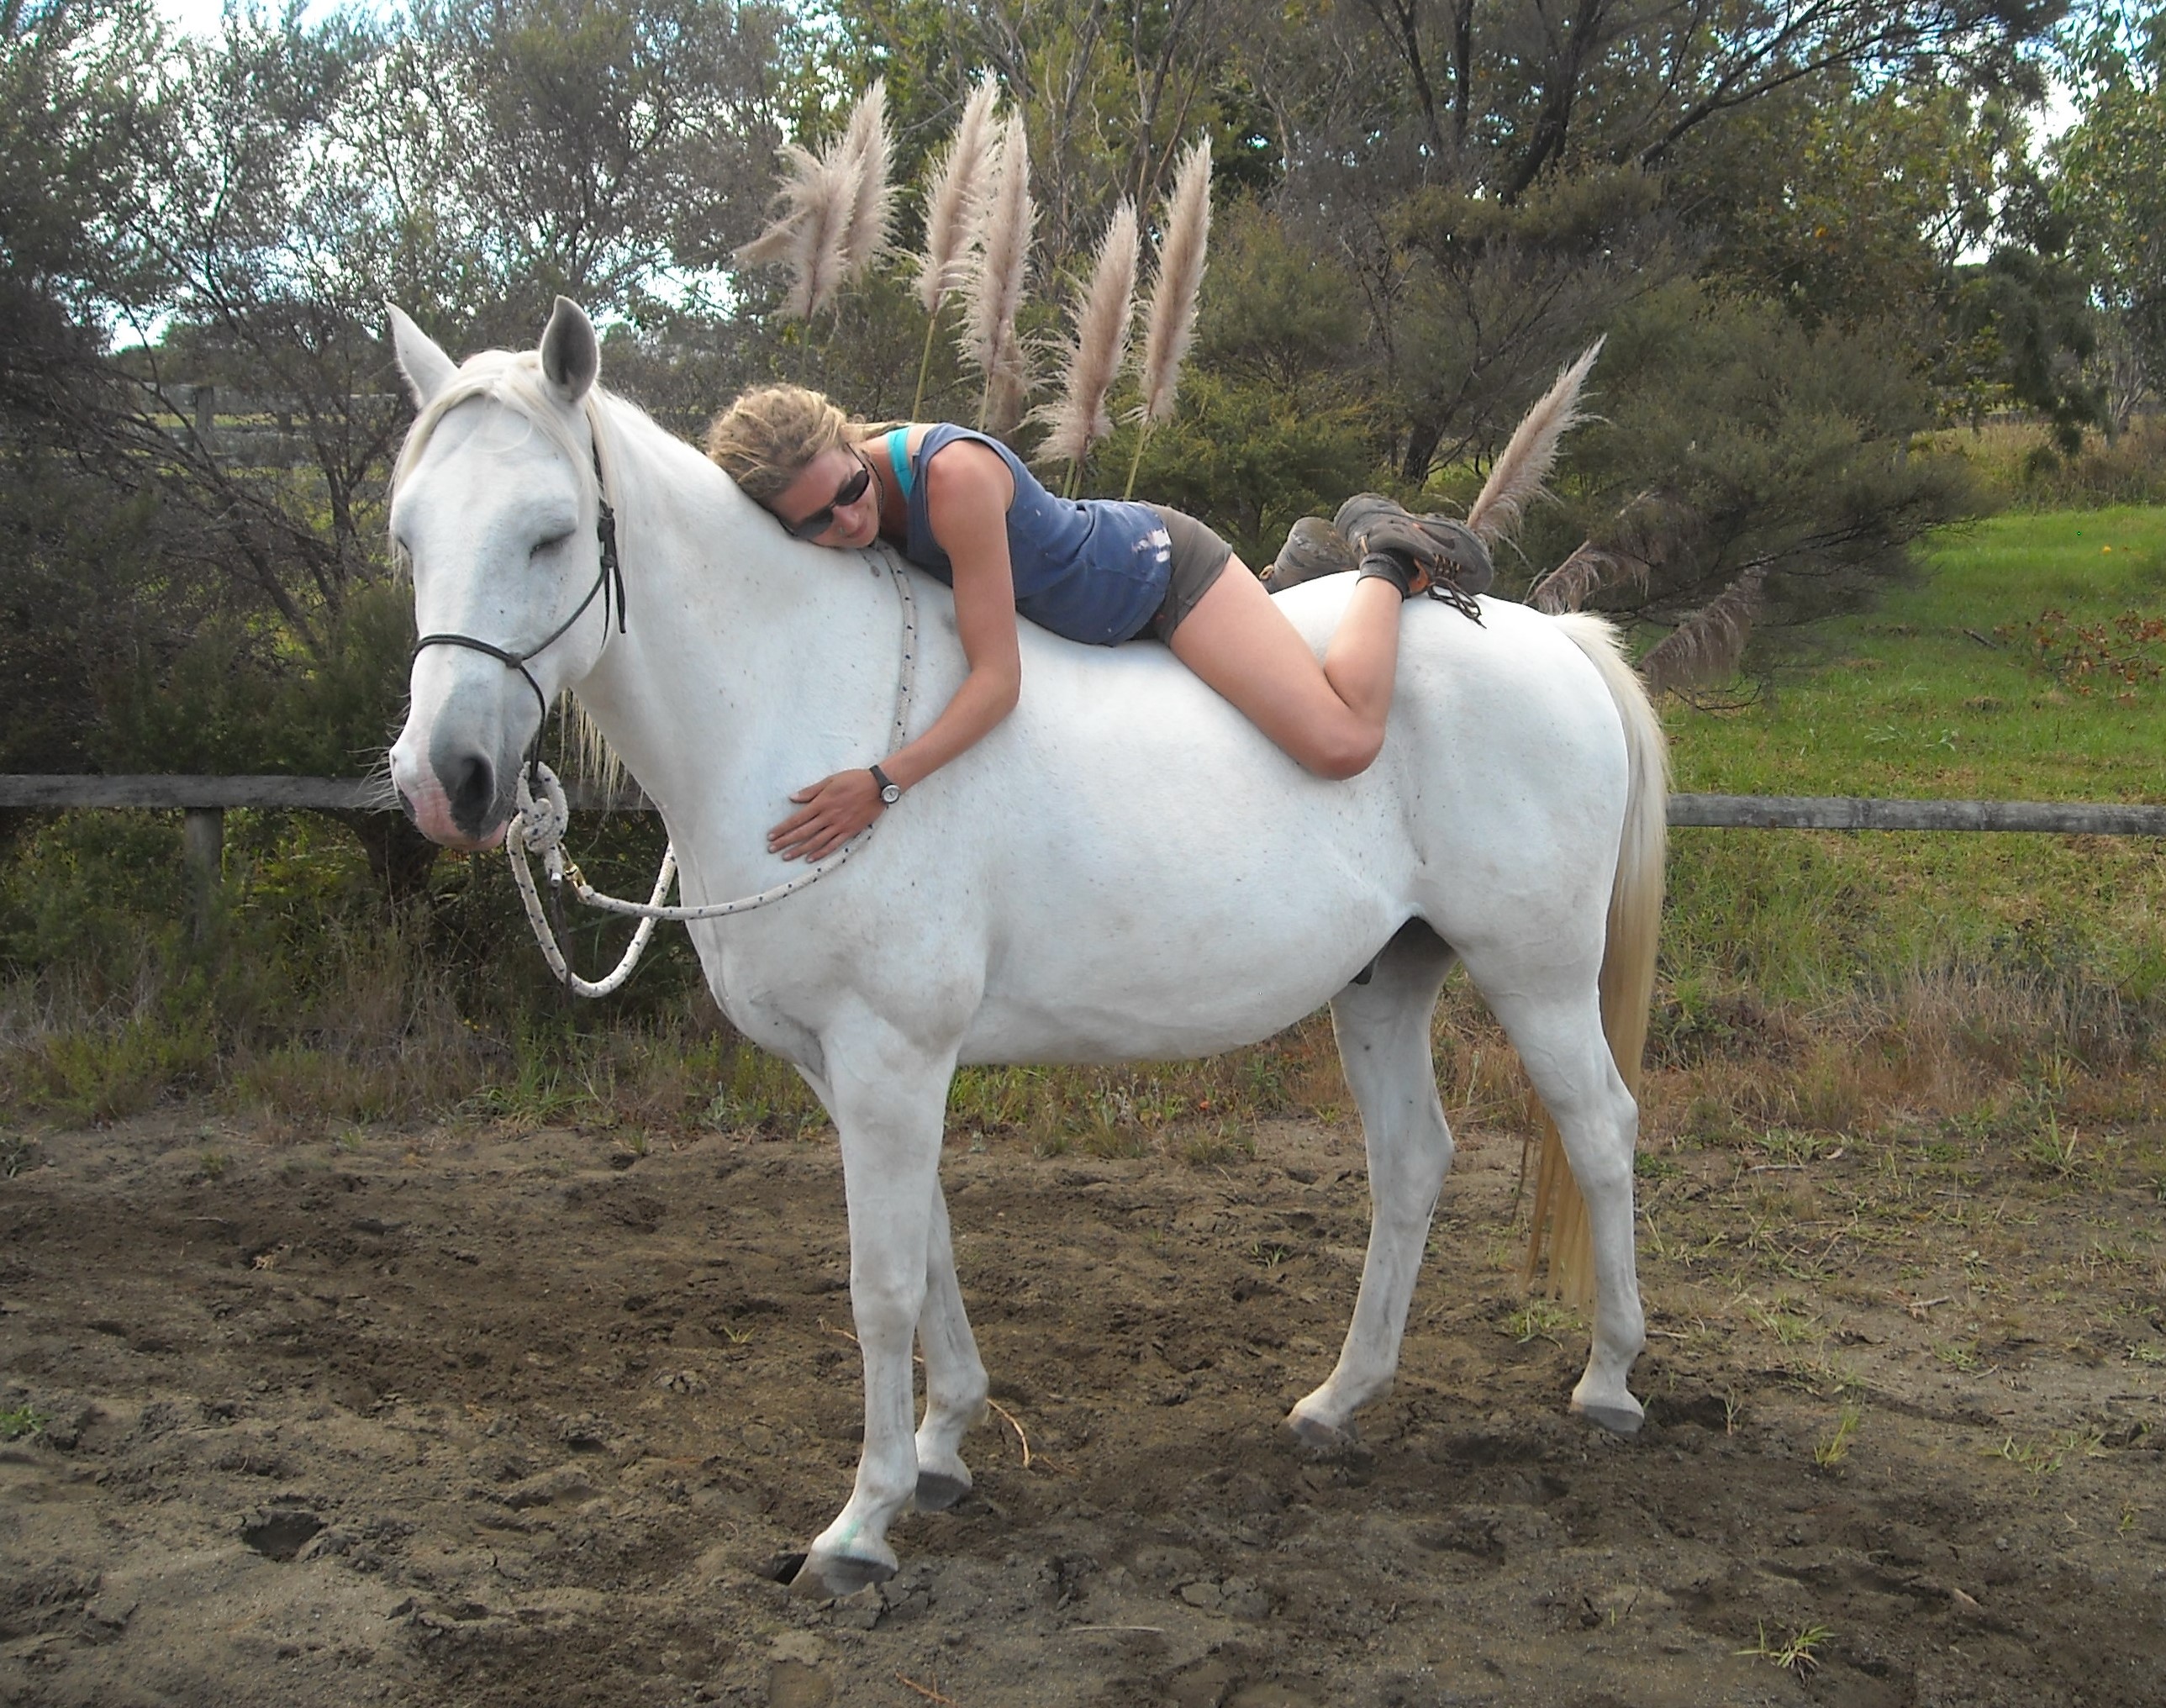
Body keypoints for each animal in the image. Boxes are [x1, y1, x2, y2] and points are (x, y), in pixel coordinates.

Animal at [384, 298, 1668, 1598]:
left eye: (550, 535)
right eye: (408, 537)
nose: (447, 783)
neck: (802, 697)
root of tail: (1554, 640)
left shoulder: (891, 1056)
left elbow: (881, 1284)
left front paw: (861, 1524)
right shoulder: (850, 1070)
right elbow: (934, 1249)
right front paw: (943, 1449)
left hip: (1535, 974)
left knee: (1601, 1130)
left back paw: (1609, 1380)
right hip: (1384, 983)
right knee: (1412, 1160)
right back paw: (1335, 1403)